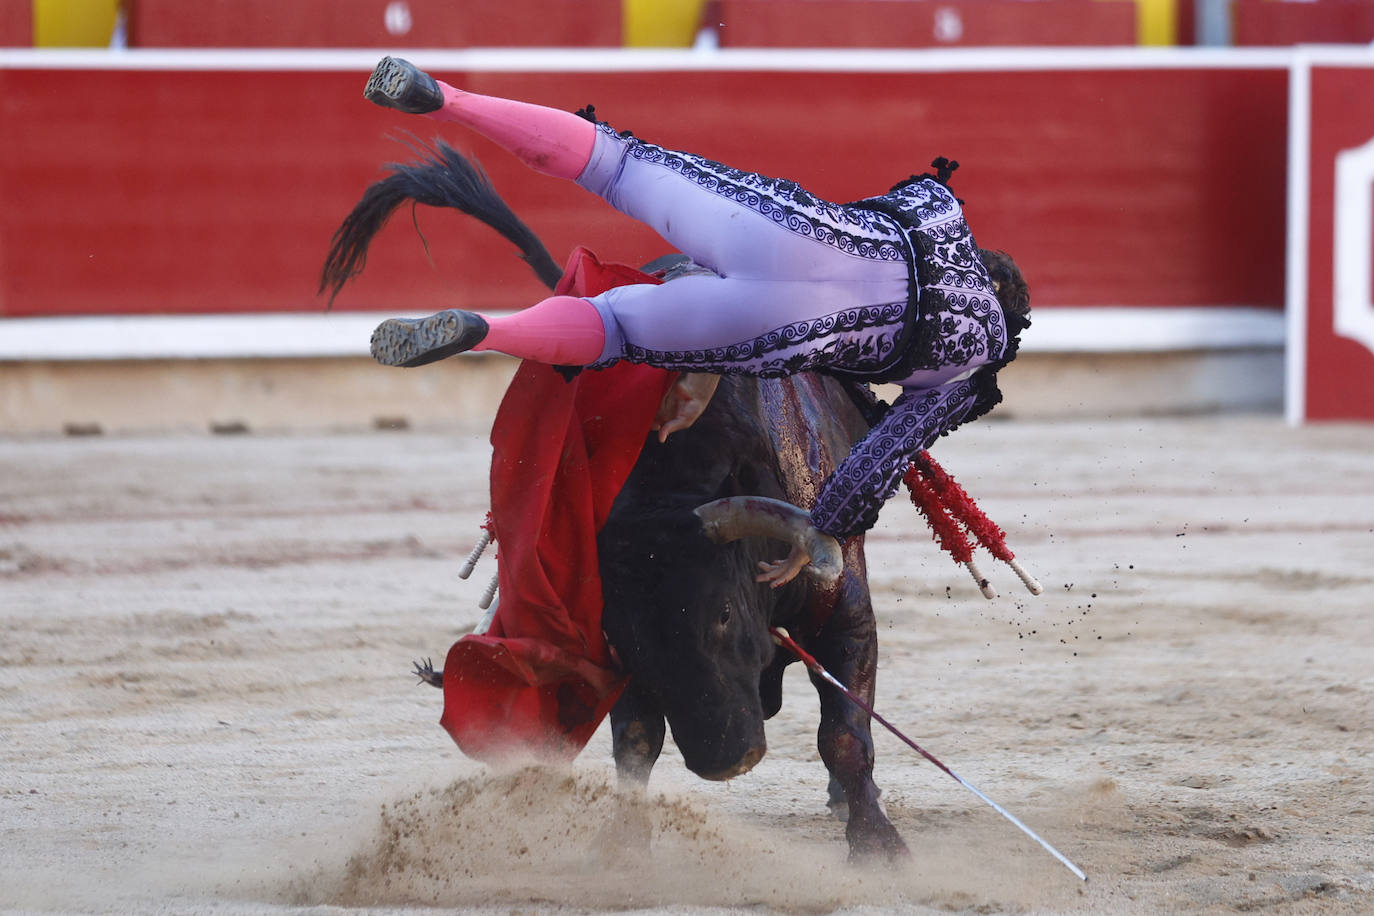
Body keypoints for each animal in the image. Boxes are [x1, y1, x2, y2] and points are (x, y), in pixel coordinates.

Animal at [324, 141, 912, 862]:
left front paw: (877, 844)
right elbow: (636, 743)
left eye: (722, 614)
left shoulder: (846, 609)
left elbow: (845, 731)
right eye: (627, 642)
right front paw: (623, 847)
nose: (726, 761)